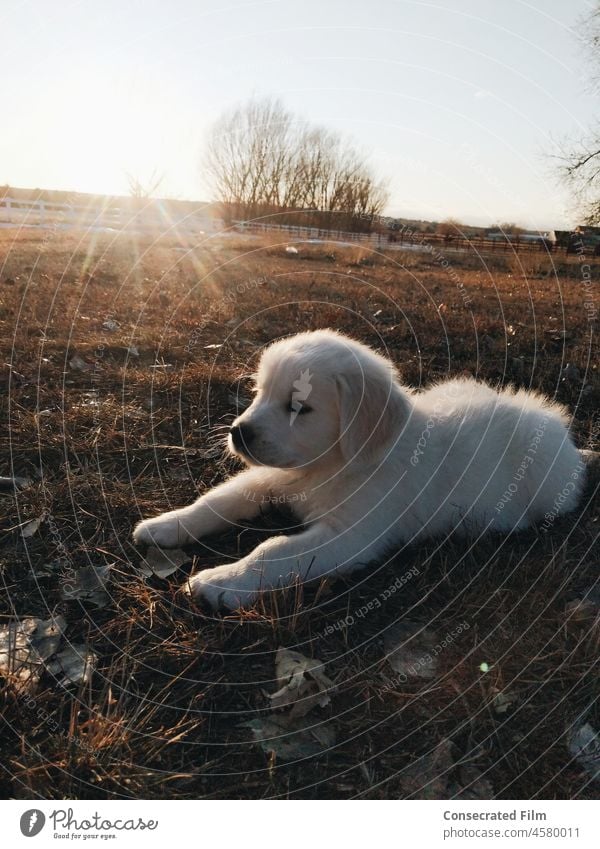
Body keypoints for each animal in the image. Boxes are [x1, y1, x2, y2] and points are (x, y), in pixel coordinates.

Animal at [132, 328, 584, 608]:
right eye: (259, 392)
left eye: (299, 406)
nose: (238, 433)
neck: (334, 465)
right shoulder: (273, 476)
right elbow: (219, 499)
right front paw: (166, 525)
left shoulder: (350, 535)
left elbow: (273, 550)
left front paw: (221, 581)